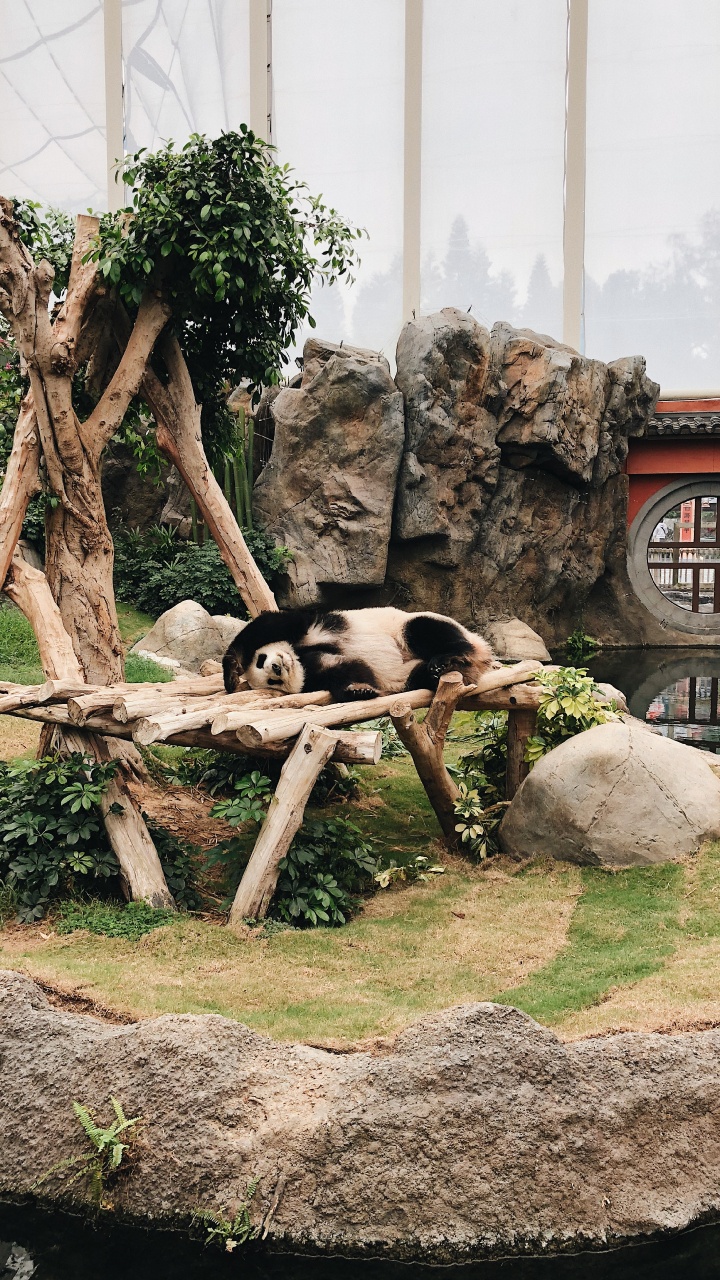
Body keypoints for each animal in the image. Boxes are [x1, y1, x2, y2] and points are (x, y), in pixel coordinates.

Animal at [222, 606, 494, 701]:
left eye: (261, 660)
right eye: (272, 681)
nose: (277, 667)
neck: (298, 657)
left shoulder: (310, 627)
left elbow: (269, 625)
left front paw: (232, 673)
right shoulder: (313, 672)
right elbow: (348, 669)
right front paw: (359, 690)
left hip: (405, 625)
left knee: (423, 630)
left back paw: (447, 657)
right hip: (410, 674)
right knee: (419, 676)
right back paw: (440, 671)